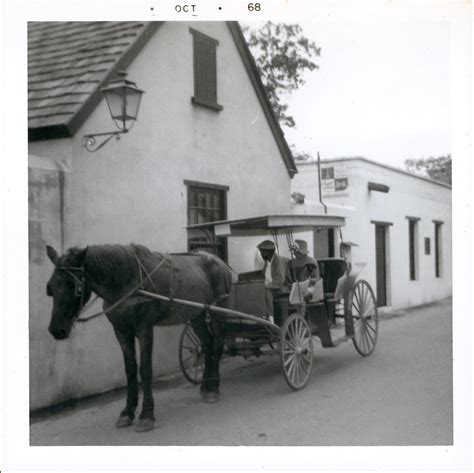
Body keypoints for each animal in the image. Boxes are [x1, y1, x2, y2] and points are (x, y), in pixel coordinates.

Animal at [45, 243, 231, 432]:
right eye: (50, 288)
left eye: (72, 284)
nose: (56, 330)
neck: (127, 281)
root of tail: (220, 263)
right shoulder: (121, 331)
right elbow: (130, 369)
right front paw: (127, 412)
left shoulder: (144, 328)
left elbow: (145, 368)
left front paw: (146, 414)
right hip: (197, 314)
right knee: (206, 344)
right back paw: (206, 386)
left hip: (217, 311)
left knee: (216, 345)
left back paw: (214, 388)